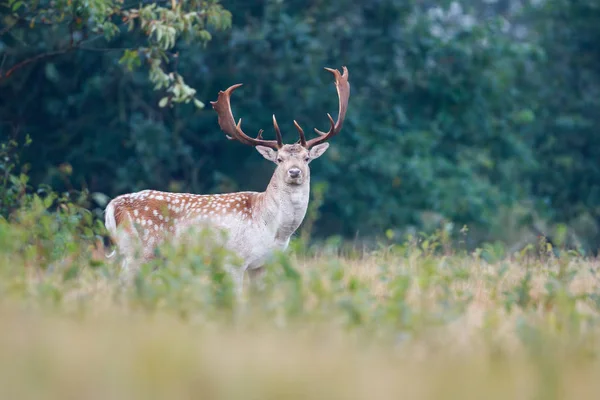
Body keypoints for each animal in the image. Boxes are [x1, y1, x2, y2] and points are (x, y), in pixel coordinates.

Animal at [102, 66, 346, 296]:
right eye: (279, 159)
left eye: (306, 158)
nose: (294, 172)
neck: (273, 229)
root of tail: (112, 206)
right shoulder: (234, 259)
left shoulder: (262, 265)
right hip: (140, 250)